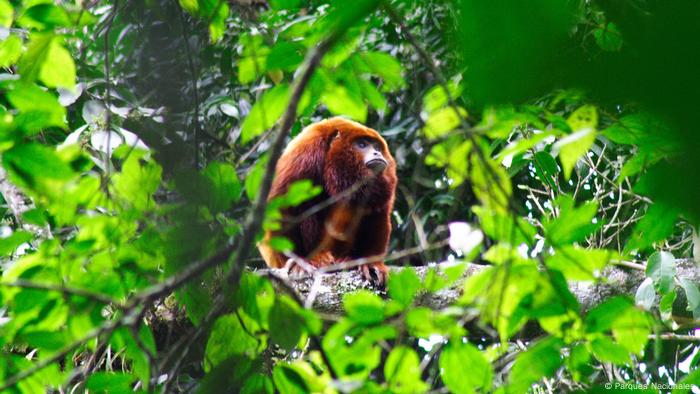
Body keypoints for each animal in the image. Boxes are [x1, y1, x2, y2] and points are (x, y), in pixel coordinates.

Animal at [258, 117, 400, 286]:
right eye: (362, 145)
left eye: (377, 146)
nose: (377, 152)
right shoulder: (306, 152)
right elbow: (283, 207)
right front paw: (301, 262)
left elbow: (379, 211)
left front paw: (371, 263)